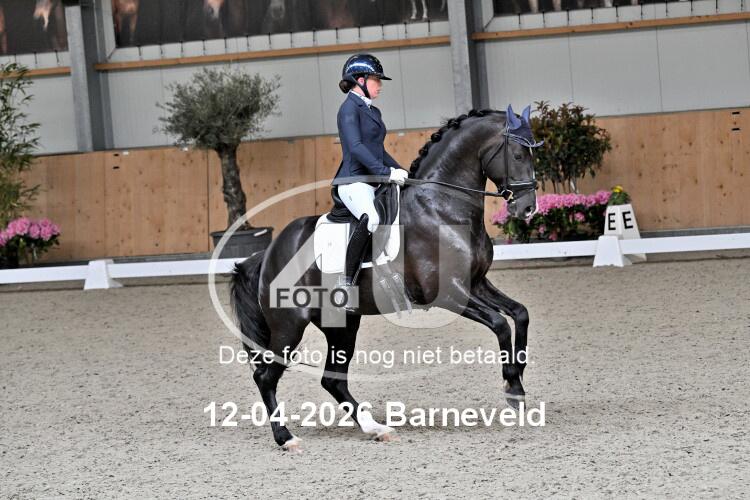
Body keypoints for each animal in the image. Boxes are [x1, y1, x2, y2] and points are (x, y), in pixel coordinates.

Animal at [230, 106, 539, 451]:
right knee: (266, 377)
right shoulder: (450, 294)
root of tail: (268, 254)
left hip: (342, 326)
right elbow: (500, 324)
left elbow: (520, 313)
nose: (528, 208)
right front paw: (513, 386)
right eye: (518, 154)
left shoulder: (476, 284)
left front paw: (518, 379)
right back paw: (286, 438)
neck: (441, 208)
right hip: (289, 326)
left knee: (332, 379)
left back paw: (376, 428)